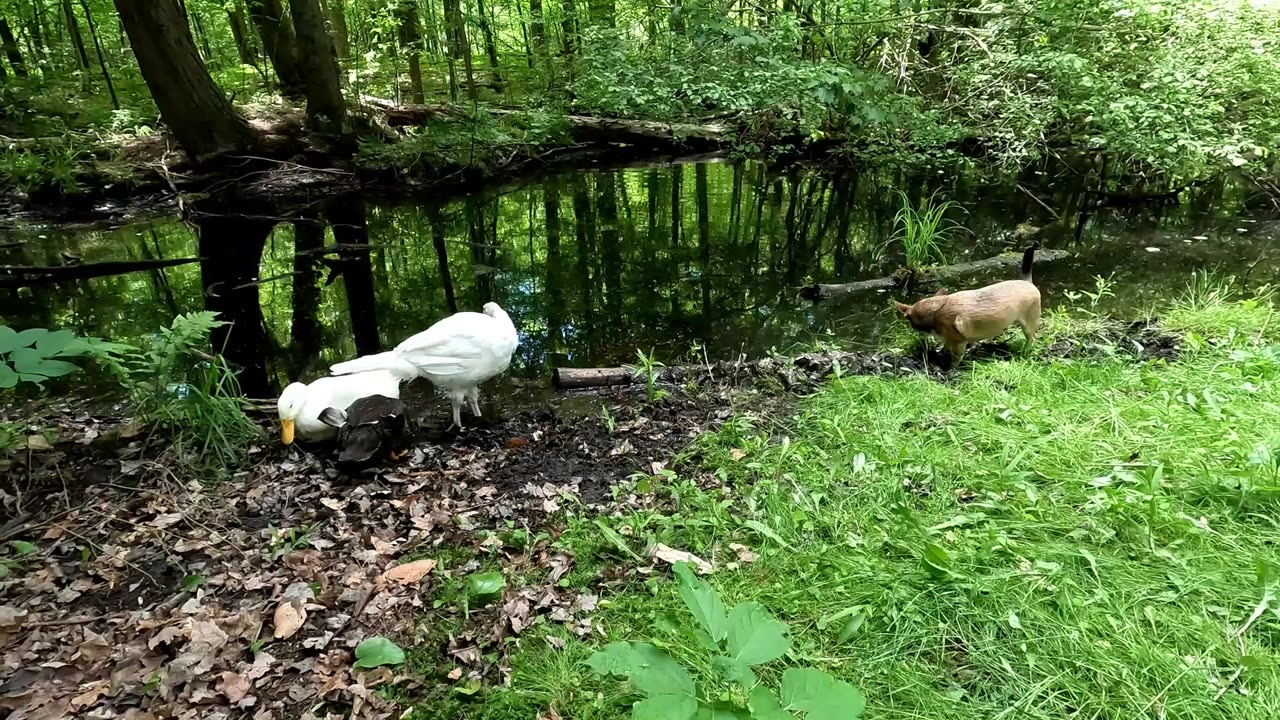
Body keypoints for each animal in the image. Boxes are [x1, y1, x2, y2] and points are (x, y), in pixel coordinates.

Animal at [901, 244, 1039, 358]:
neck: (936, 311)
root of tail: (1027, 281)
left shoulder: (959, 341)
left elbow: (956, 357)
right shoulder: (949, 339)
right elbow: (946, 346)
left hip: (1030, 322)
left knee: (1031, 338)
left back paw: (1024, 352)